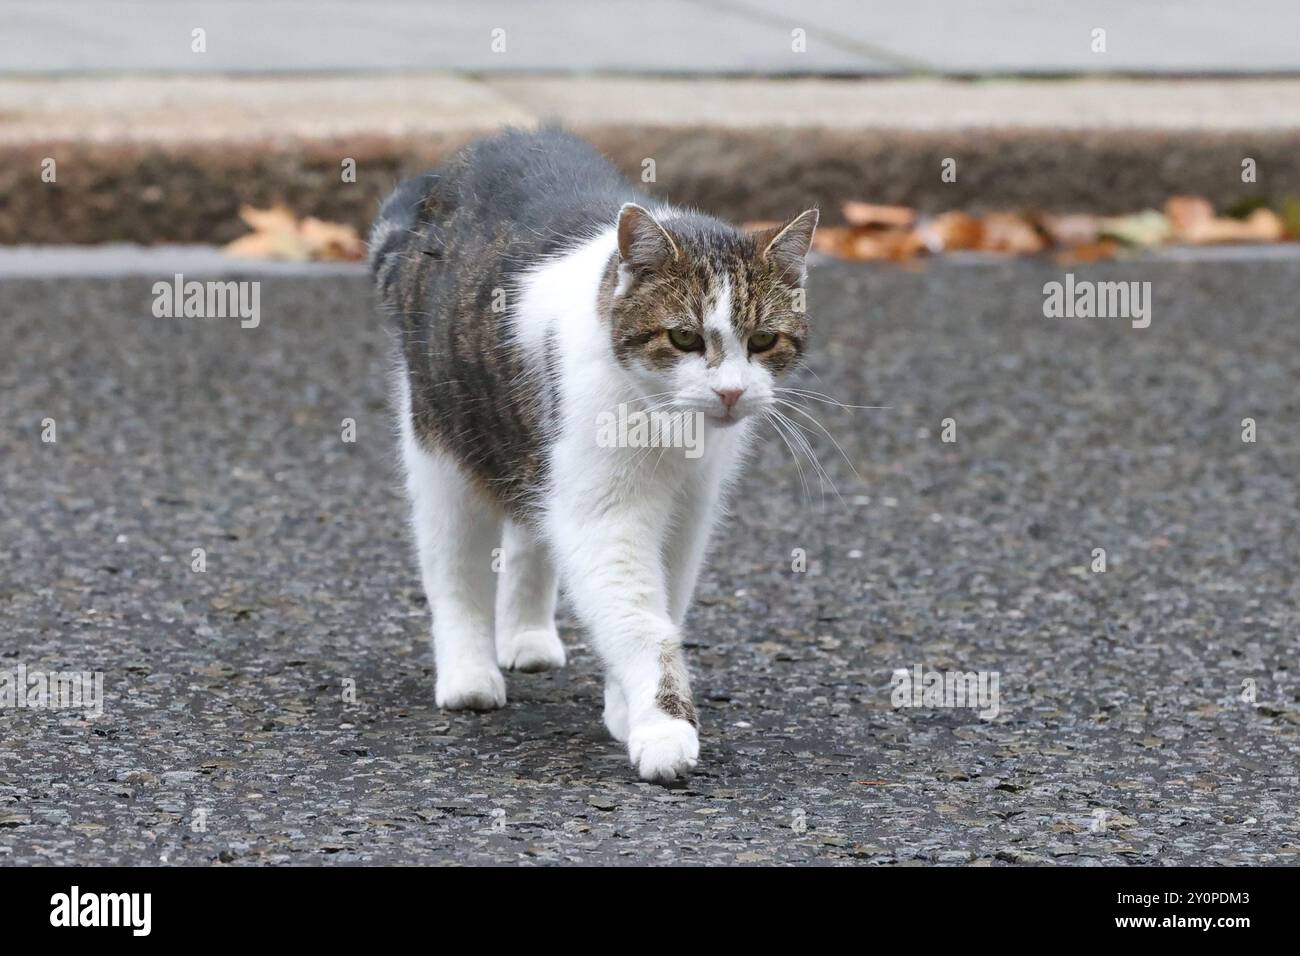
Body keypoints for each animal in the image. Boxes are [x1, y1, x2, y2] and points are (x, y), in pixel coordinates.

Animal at [369, 127, 811, 780]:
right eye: (684, 336)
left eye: (763, 340)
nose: (731, 392)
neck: (667, 427)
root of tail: (448, 171)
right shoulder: (605, 515)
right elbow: (639, 620)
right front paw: (662, 725)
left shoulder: (690, 510)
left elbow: (662, 603)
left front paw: (625, 708)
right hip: (442, 442)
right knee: (454, 566)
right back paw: (470, 674)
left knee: (533, 530)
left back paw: (526, 637)